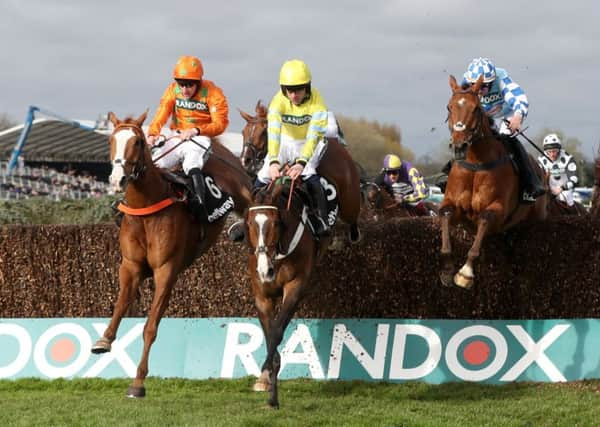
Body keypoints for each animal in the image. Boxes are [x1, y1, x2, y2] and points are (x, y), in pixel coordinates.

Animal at [89, 111, 253, 398]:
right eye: (112, 140)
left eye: (138, 142)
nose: (118, 179)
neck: (147, 207)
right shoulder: (130, 266)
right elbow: (120, 305)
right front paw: (104, 340)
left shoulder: (166, 270)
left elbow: (150, 327)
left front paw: (138, 383)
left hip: (243, 189)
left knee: (256, 204)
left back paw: (244, 227)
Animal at [245, 177, 332, 408]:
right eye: (250, 224)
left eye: (276, 223)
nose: (265, 270)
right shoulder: (262, 297)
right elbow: (269, 336)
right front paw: (265, 381)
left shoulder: (295, 287)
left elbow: (276, 333)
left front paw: (271, 392)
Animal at [440, 76, 548, 290]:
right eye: (449, 107)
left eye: (475, 108)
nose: (459, 146)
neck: (475, 164)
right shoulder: (453, 206)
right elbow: (445, 215)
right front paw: (447, 270)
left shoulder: (498, 209)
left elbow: (484, 219)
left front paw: (465, 273)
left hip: (538, 216)